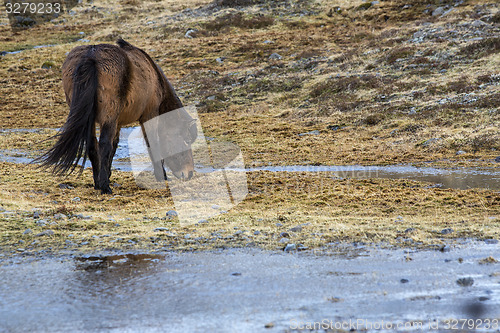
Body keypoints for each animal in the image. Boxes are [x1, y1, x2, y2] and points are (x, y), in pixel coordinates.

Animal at [36, 39, 197, 193]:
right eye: (186, 140)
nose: (189, 173)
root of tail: (91, 56)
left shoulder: (118, 122)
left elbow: (114, 146)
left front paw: (107, 174)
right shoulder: (148, 115)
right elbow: (151, 142)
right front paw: (161, 176)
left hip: (92, 120)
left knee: (93, 145)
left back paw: (98, 183)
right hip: (108, 116)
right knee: (103, 144)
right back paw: (105, 187)